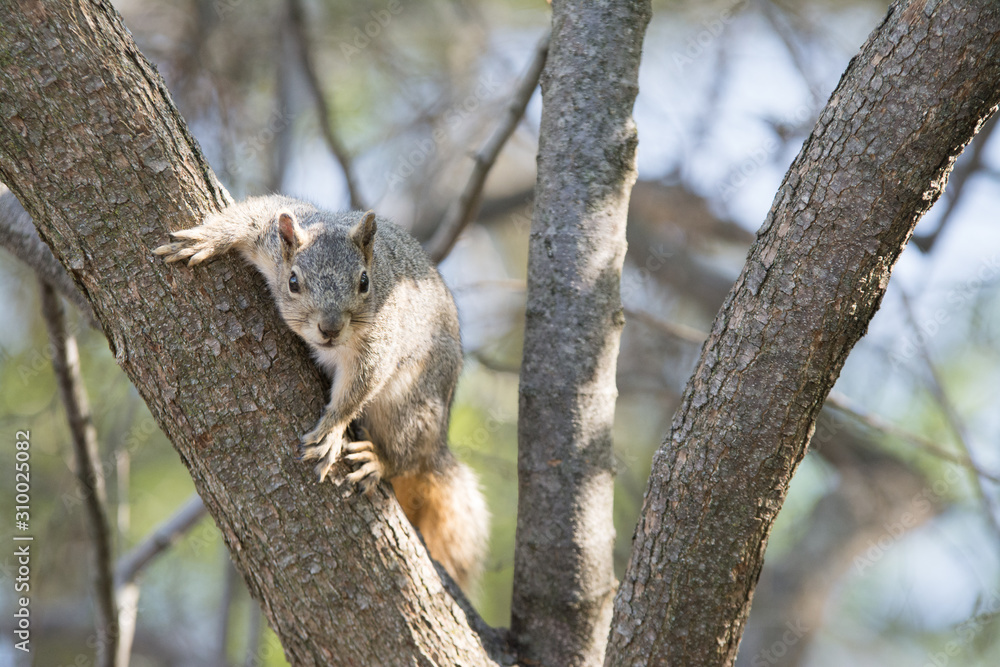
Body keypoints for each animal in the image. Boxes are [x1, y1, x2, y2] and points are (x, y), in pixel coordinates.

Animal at [153, 197, 492, 588]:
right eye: (293, 281)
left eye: (364, 281)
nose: (330, 328)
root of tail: (438, 444)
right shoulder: (272, 231)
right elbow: (249, 214)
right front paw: (207, 238)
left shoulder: (378, 342)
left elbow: (361, 385)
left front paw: (332, 430)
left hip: (413, 405)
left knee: (407, 453)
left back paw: (380, 459)